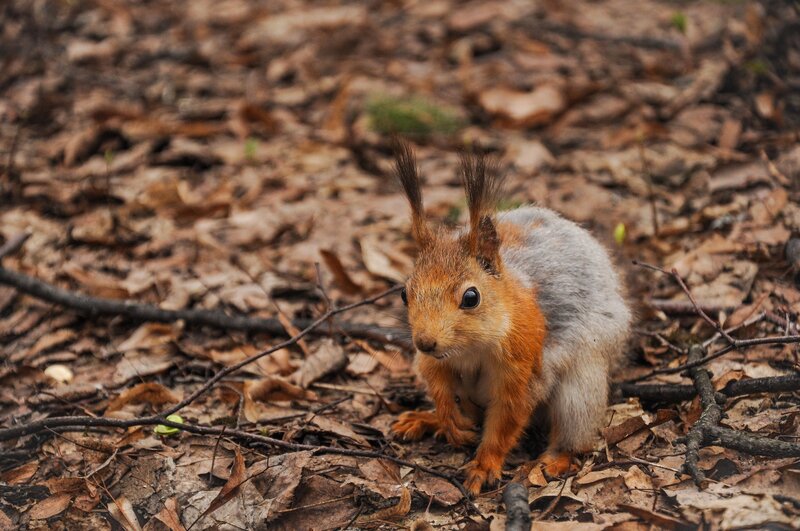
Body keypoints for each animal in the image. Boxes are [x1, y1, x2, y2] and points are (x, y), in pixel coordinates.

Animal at [390, 142, 632, 495]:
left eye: (471, 297)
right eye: (404, 293)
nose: (425, 342)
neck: (470, 348)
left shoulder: (523, 366)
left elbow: (506, 419)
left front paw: (484, 466)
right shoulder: (434, 361)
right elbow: (437, 383)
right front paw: (446, 419)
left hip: (580, 387)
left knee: (575, 432)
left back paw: (554, 460)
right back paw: (427, 419)